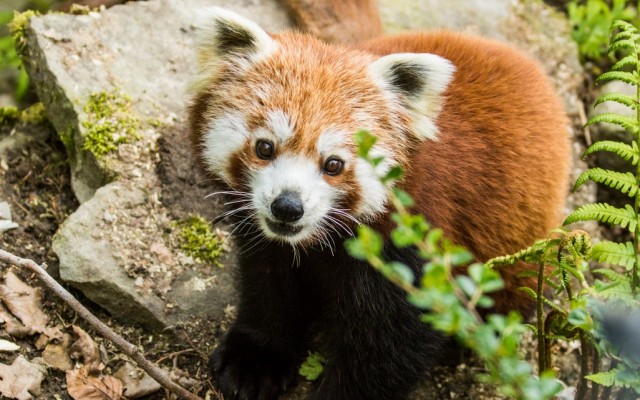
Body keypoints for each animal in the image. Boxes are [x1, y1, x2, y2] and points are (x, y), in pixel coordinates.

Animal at [186, 3, 568, 400]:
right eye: (265, 147)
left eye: (333, 164)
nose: (288, 207)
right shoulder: (265, 235)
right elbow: (268, 282)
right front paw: (256, 359)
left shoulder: (413, 238)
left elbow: (390, 348)